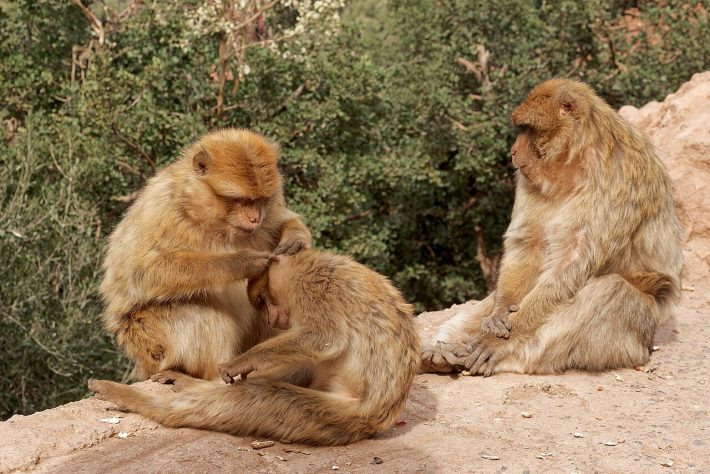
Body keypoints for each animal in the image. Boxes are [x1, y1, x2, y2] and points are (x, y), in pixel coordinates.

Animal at [89, 249, 421, 446]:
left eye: (262, 299)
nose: (272, 317)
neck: (307, 263)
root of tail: (376, 419)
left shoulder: (313, 286)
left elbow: (324, 337)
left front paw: (240, 362)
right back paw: (186, 382)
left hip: (334, 412)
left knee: (259, 397)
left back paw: (134, 398)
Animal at [100, 128, 312, 381]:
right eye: (240, 200)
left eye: (260, 200)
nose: (254, 218)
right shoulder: (162, 208)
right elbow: (144, 269)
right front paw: (239, 262)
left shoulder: (270, 211)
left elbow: (283, 221)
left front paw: (295, 239)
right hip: (146, 343)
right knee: (196, 312)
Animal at [421, 78, 682, 376]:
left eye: (527, 129)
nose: (513, 150)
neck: (575, 165)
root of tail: (644, 347)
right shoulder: (527, 177)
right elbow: (528, 243)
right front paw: (500, 311)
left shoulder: (617, 181)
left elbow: (570, 267)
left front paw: (498, 342)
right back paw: (440, 354)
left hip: (635, 334)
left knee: (610, 290)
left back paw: (504, 357)